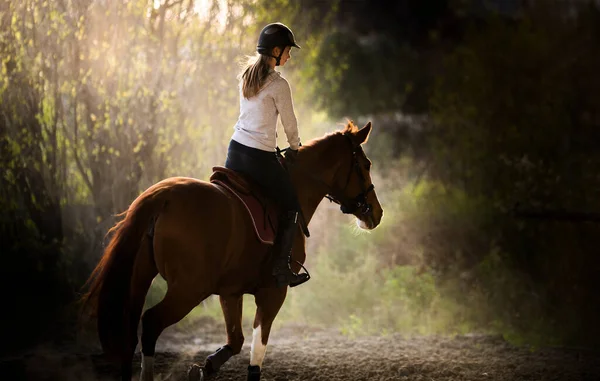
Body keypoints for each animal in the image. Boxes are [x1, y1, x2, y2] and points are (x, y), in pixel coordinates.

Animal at [81, 120, 384, 378]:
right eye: (365, 165)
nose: (377, 213)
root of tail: (163, 197)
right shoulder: (273, 292)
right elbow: (256, 353)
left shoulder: (230, 292)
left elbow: (236, 341)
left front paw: (204, 369)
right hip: (189, 289)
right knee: (152, 323)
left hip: (142, 277)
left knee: (130, 331)